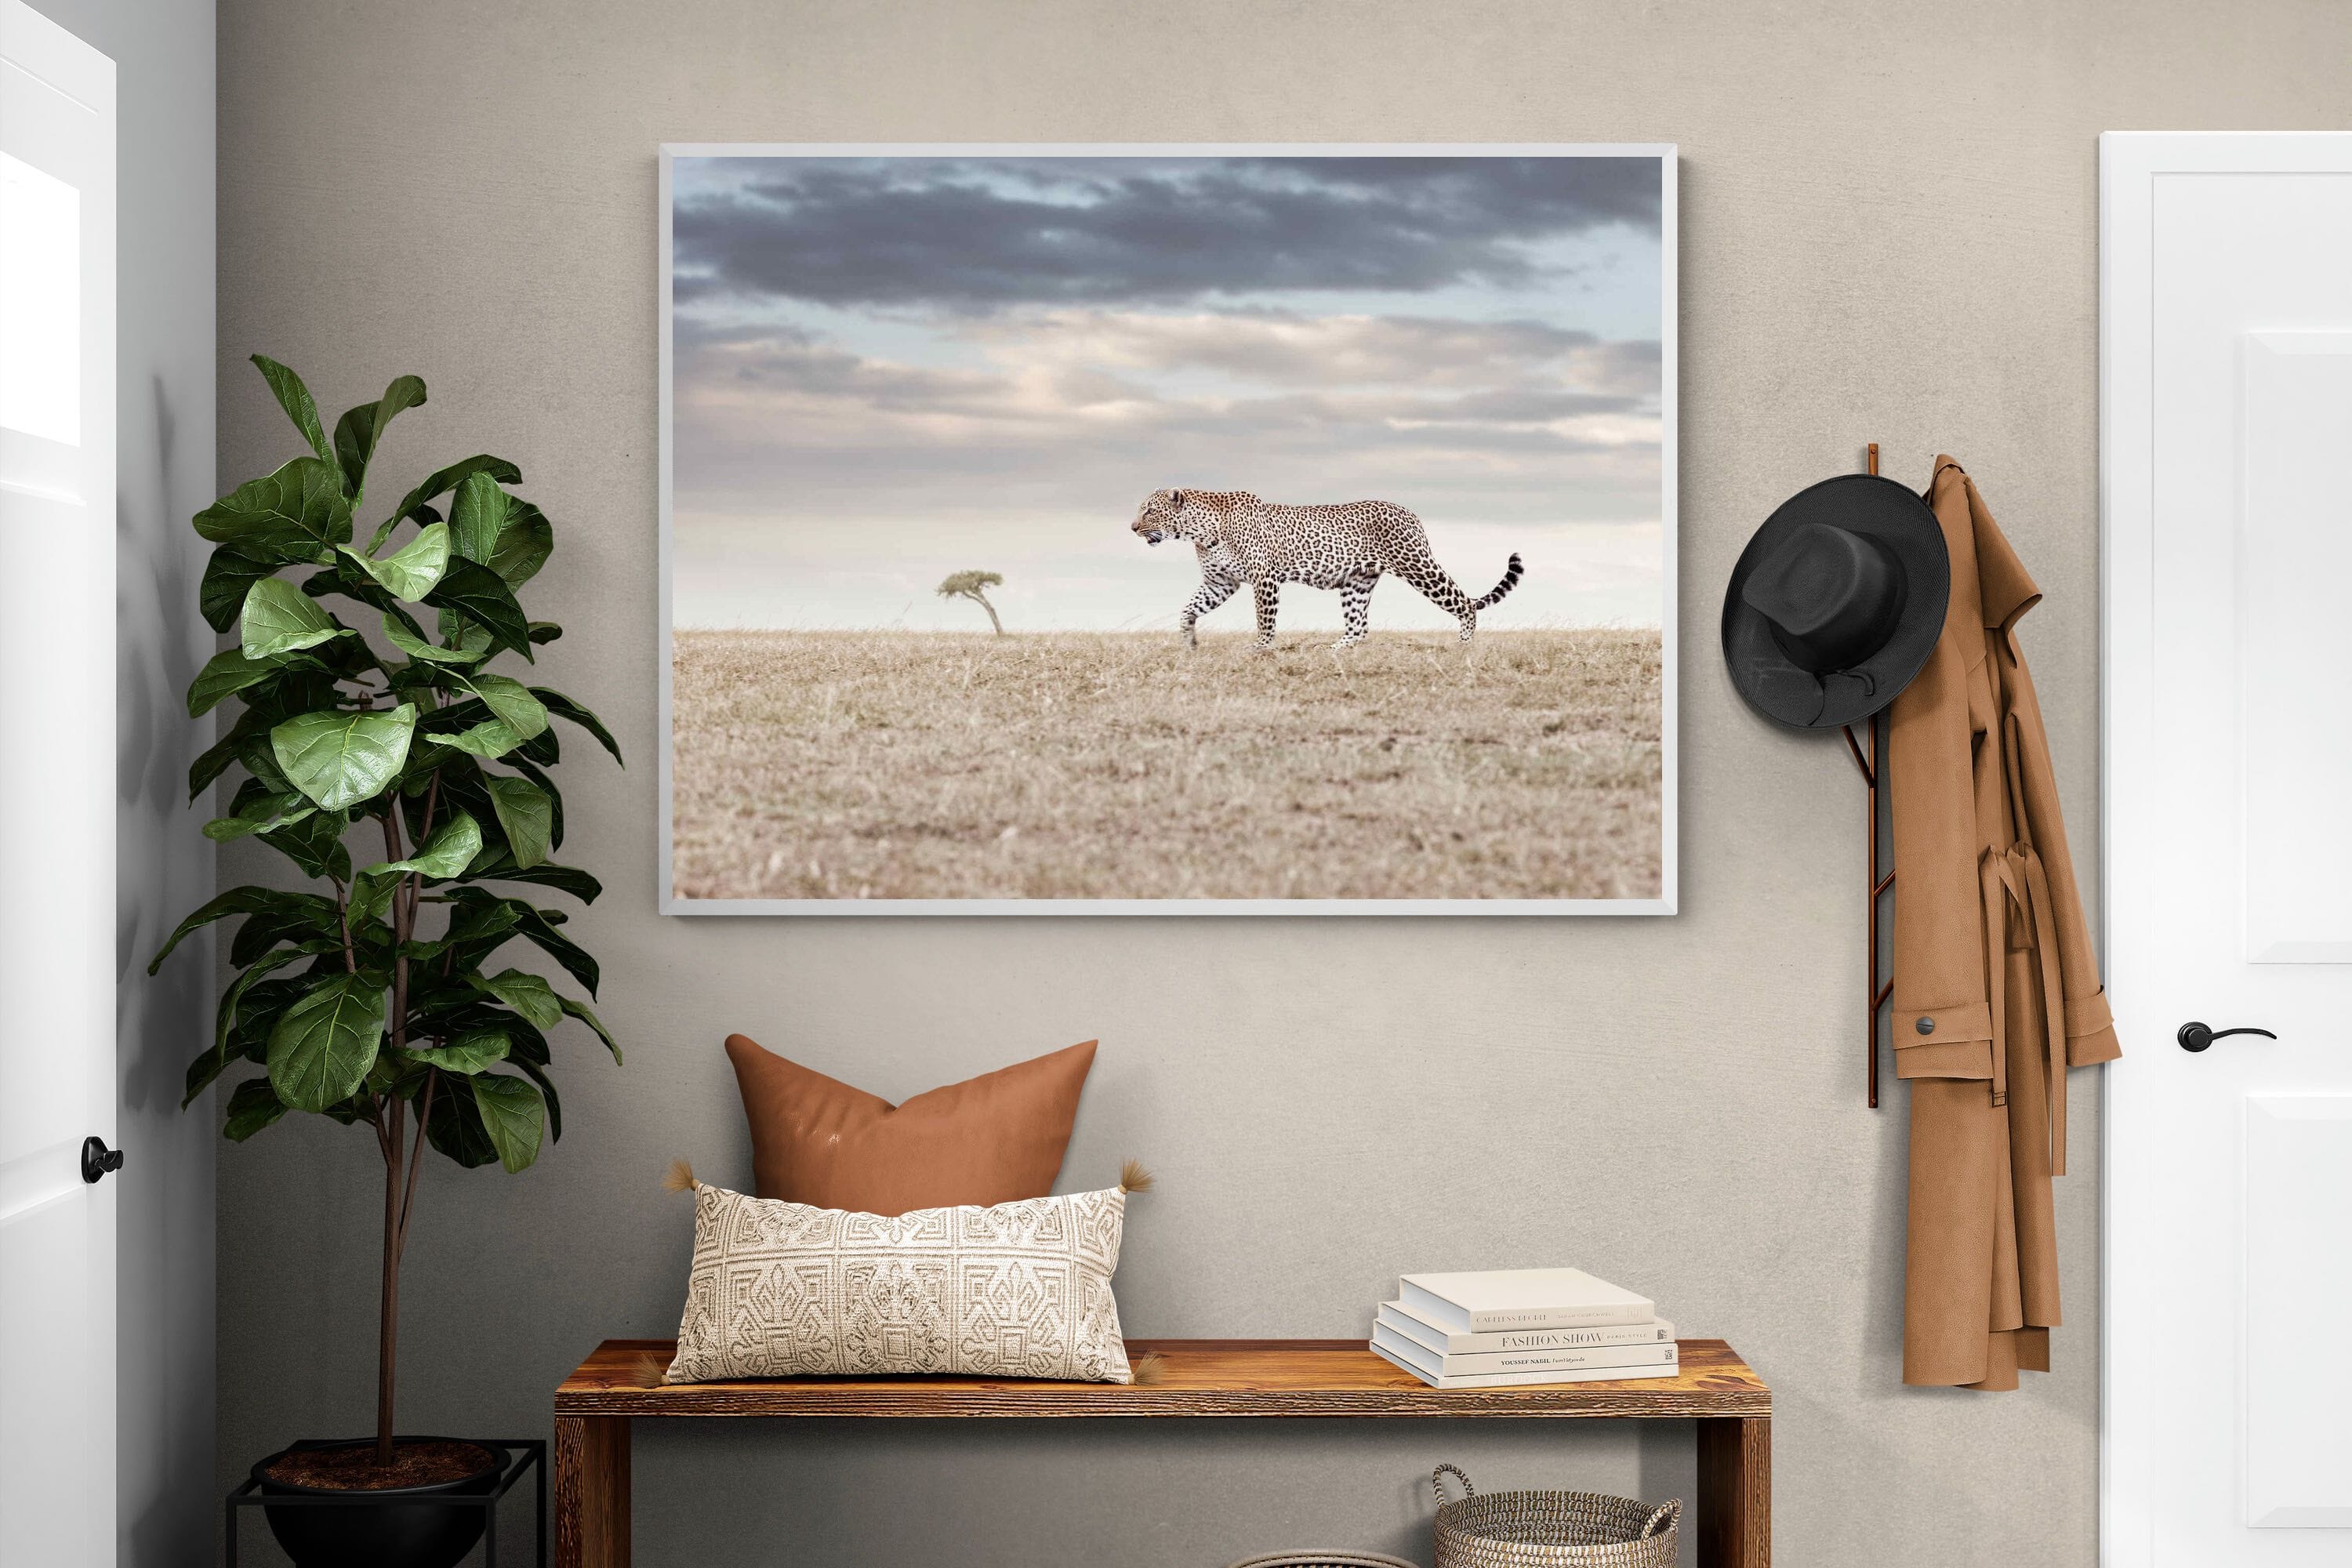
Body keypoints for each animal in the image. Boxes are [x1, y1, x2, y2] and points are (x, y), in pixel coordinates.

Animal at [1130, 488, 1524, 649]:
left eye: (1149, 510)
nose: (1132, 528)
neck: (1198, 531)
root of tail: (1409, 511)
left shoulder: (1264, 579)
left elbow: (1264, 619)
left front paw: (1260, 648)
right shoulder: (1220, 582)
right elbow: (1188, 610)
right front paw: (1189, 642)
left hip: (1417, 566)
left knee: (1464, 602)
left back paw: (1464, 643)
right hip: (1357, 583)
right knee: (1359, 626)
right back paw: (1335, 649)